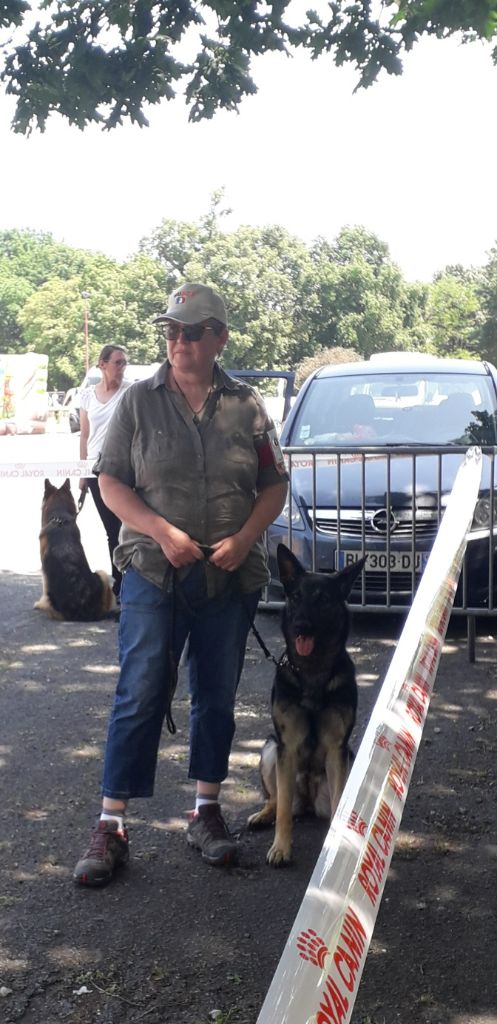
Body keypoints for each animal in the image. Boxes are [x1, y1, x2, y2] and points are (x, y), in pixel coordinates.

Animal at [34, 478, 116, 622]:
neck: (59, 519)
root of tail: (84, 612)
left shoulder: (45, 575)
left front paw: (39, 603)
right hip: (102, 575)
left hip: (101, 573)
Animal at [248, 543, 366, 866]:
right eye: (296, 597)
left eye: (323, 599)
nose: (300, 626)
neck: (312, 671)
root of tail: (310, 801)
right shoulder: (286, 747)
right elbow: (283, 812)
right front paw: (281, 848)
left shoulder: (338, 750)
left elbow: (339, 802)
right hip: (271, 750)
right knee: (278, 801)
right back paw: (263, 815)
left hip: (348, 758)